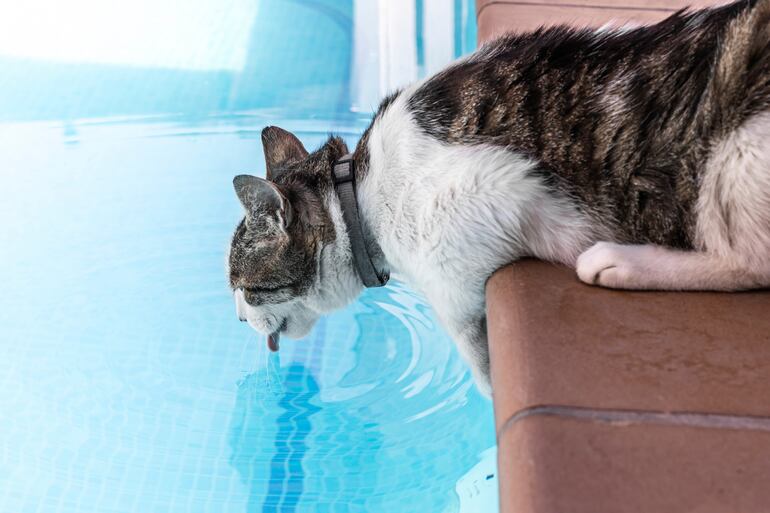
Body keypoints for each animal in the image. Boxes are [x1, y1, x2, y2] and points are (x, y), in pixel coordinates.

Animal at [226, 0, 768, 392]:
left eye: (247, 289)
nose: (237, 317)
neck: (359, 191)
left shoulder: (500, 190)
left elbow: (478, 362)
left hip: (735, 154)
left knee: (750, 262)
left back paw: (621, 263)